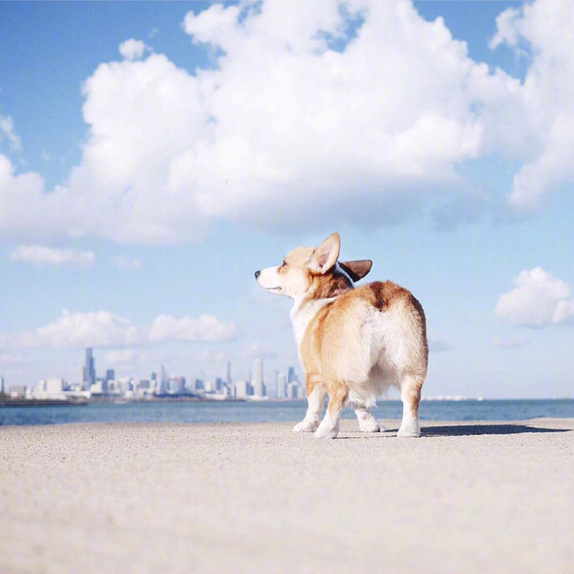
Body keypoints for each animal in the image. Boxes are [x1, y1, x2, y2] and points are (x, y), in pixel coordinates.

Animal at [255, 234, 428, 440]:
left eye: (284, 264)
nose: (256, 272)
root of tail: (376, 295)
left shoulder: (313, 373)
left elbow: (314, 404)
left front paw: (306, 425)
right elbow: (360, 404)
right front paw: (371, 426)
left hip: (339, 366)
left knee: (338, 394)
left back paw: (326, 431)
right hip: (409, 361)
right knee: (411, 395)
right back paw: (409, 431)